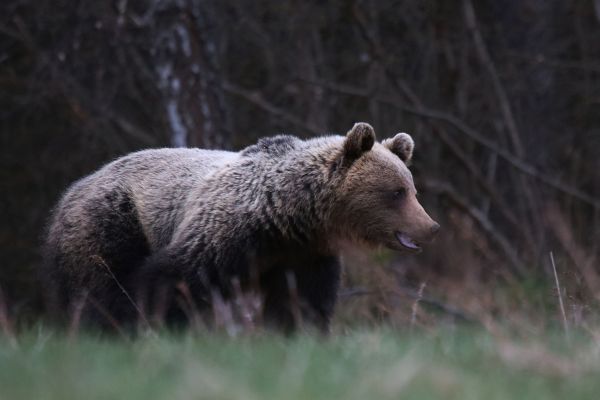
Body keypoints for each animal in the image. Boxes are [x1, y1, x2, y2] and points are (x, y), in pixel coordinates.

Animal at [41, 122, 436, 332]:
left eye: (412, 189)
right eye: (396, 192)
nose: (430, 227)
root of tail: (70, 191)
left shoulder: (303, 256)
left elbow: (303, 302)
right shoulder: (226, 234)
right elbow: (173, 278)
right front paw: (156, 321)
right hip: (114, 222)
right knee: (102, 284)